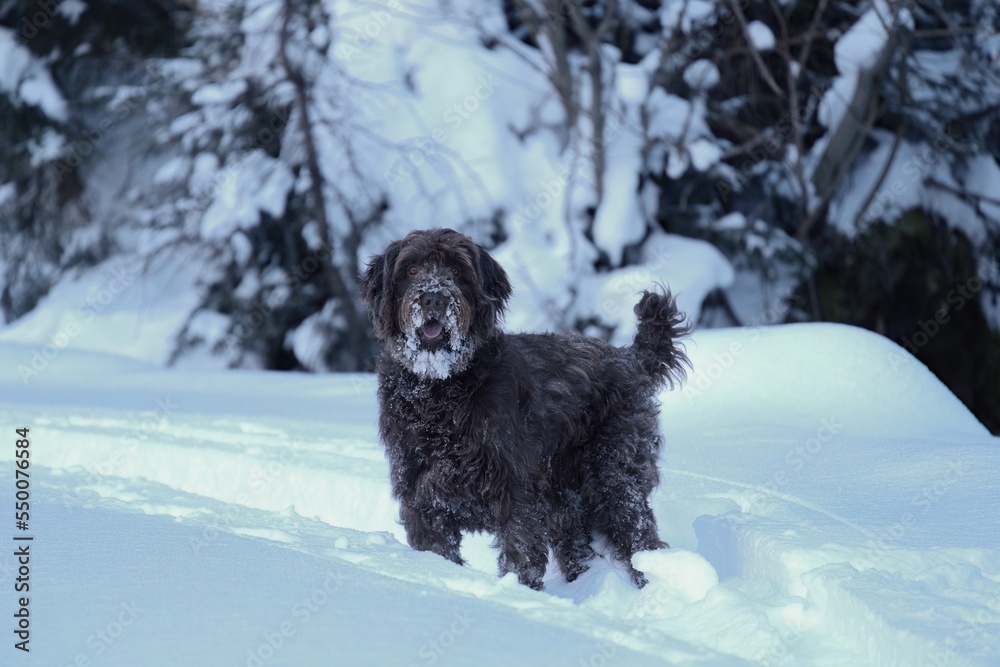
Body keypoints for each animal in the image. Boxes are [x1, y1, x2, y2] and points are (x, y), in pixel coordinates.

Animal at [360, 230, 688, 588]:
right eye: (412, 269)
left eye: (458, 271)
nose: (434, 298)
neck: (441, 389)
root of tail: (629, 358)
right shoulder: (421, 494)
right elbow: (436, 546)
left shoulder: (514, 488)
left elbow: (520, 551)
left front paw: (518, 590)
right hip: (566, 501)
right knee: (579, 549)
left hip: (615, 474)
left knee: (638, 533)